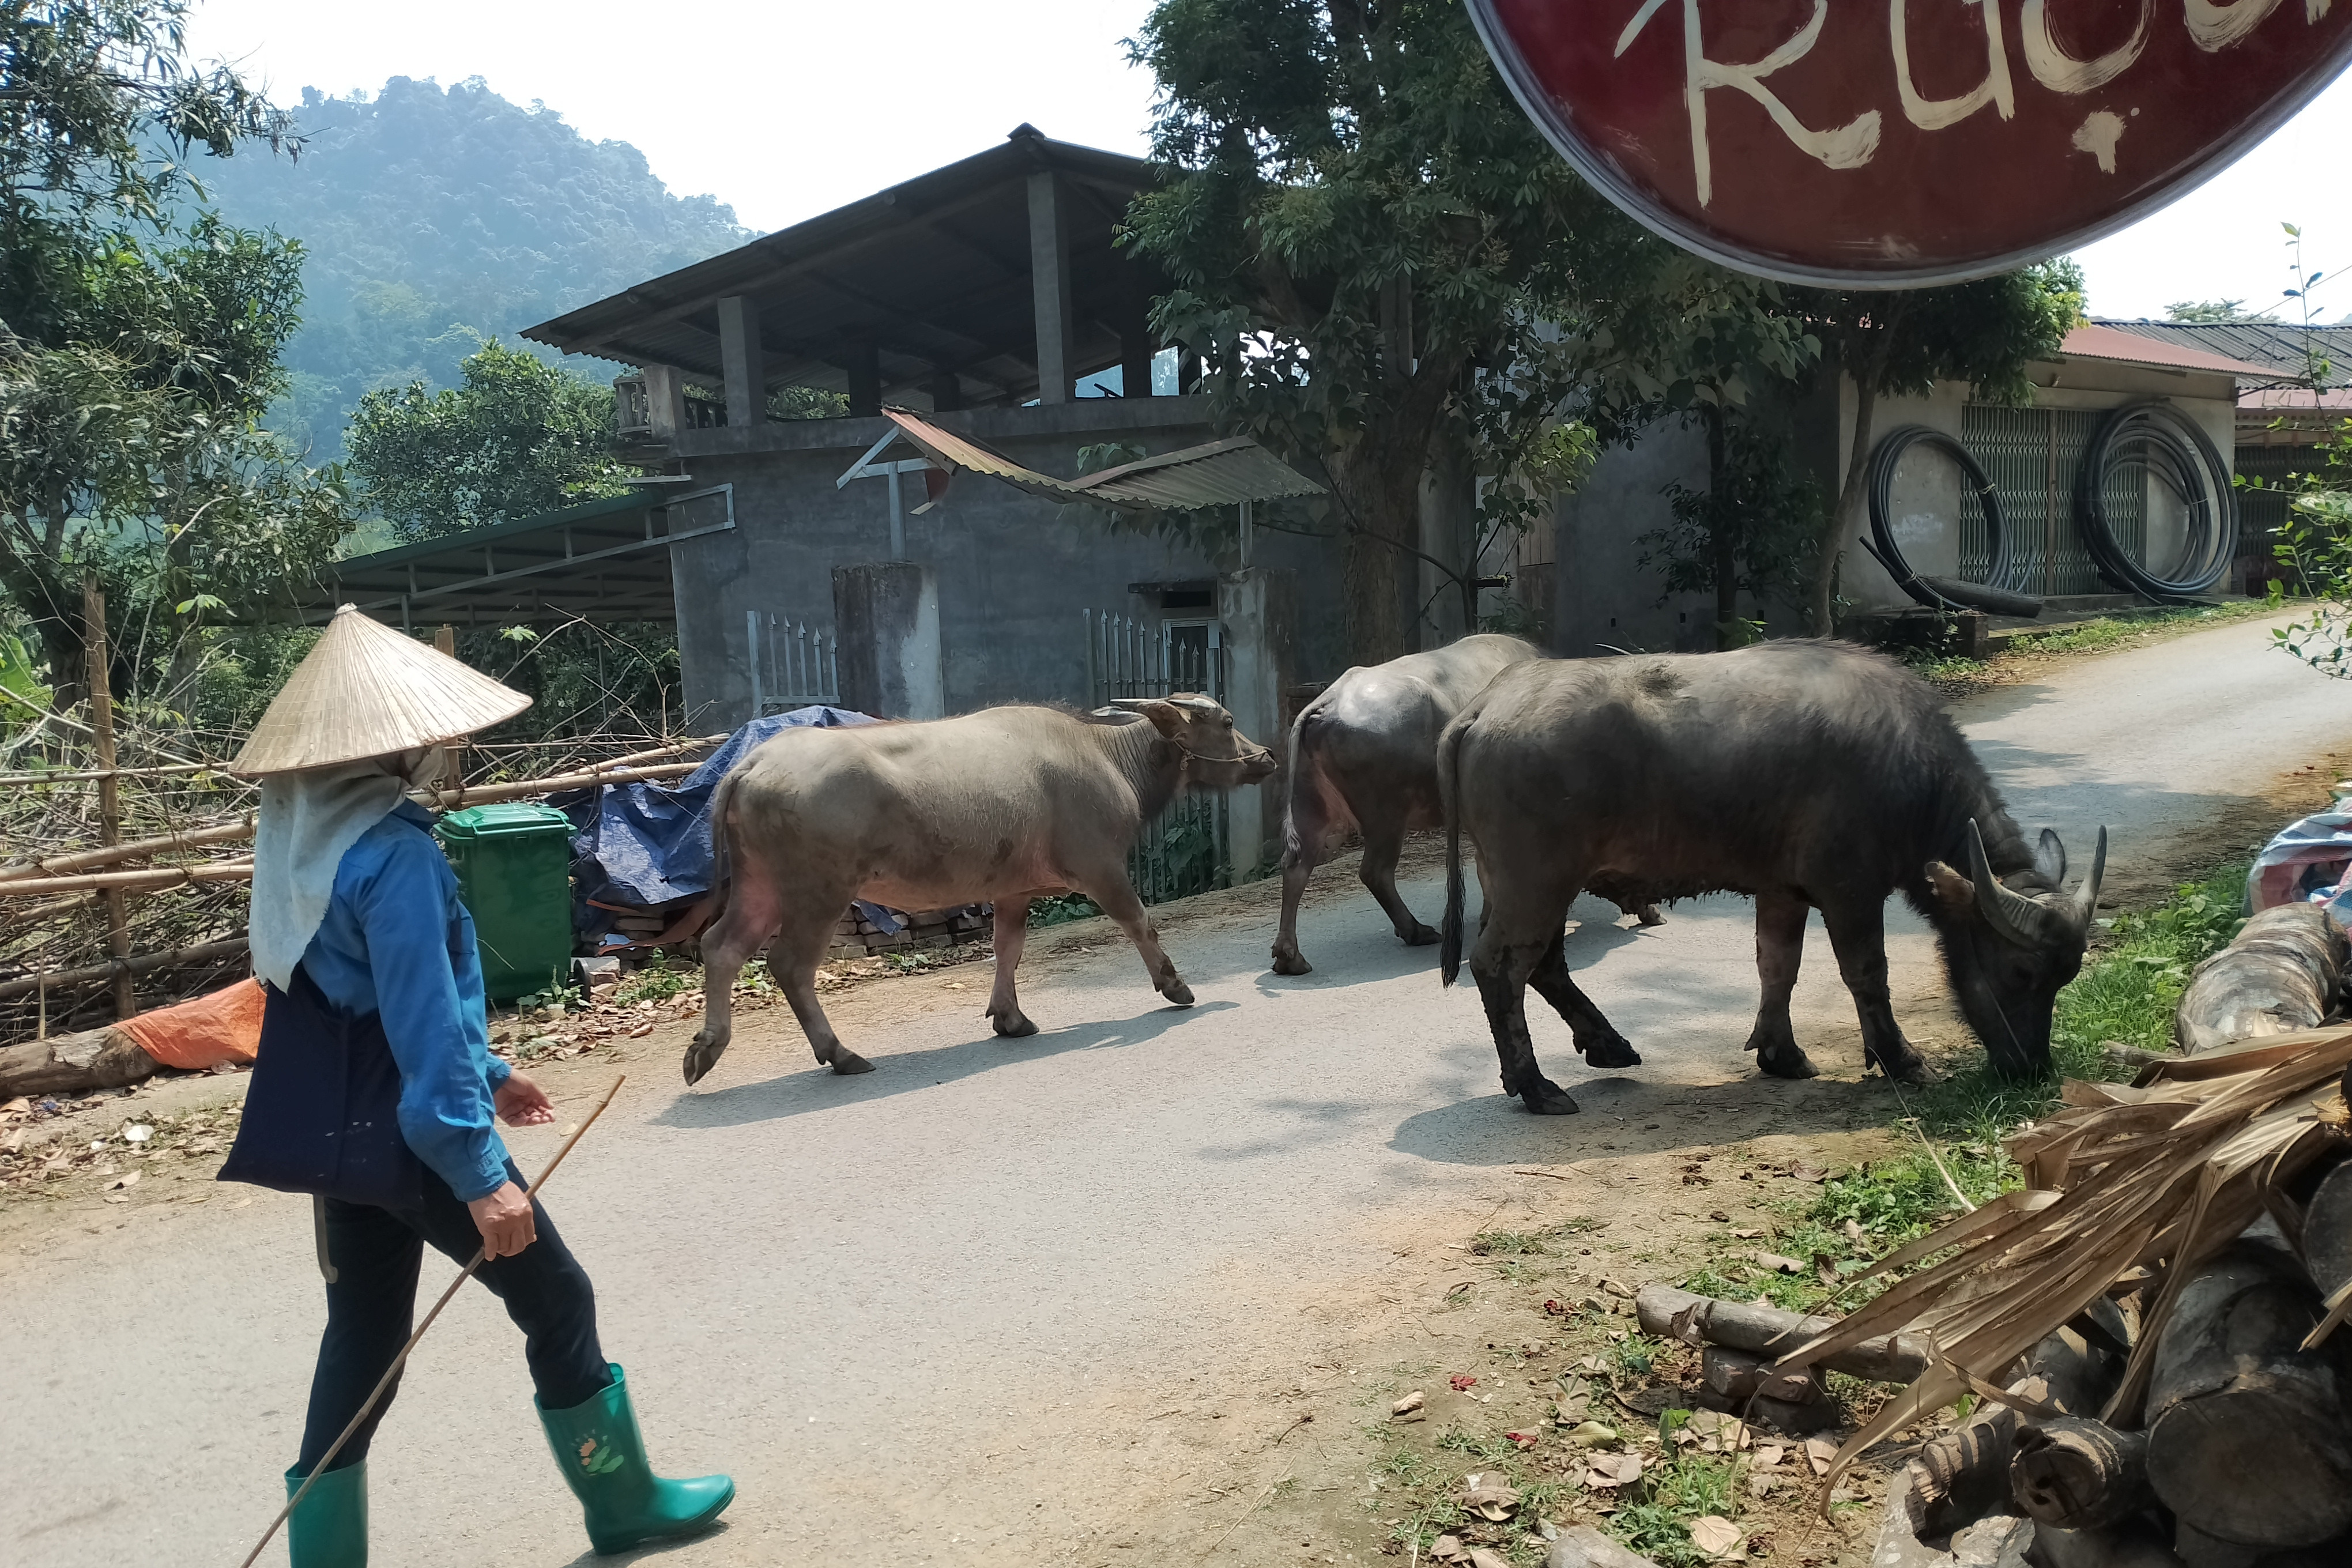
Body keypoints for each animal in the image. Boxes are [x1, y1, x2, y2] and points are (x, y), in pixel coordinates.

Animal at [672, 700, 1279, 1091]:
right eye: (1227, 721)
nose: (1267, 756)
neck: (1106, 756)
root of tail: (750, 765)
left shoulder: (1013, 889)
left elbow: (1007, 949)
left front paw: (1009, 1017)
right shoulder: (1101, 868)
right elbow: (1140, 922)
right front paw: (1175, 986)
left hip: (761, 886)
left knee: (723, 946)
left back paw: (706, 1047)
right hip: (818, 891)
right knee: (790, 964)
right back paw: (839, 1054)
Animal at [1279, 630, 1665, 973]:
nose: (1653, 910)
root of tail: (1327, 701)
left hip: (1315, 809)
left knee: (1296, 865)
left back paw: (1290, 957)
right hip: (1386, 817)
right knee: (1376, 871)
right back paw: (1416, 931)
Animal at [1430, 639, 2117, 1114]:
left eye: (2067, 977)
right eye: (2022, 972)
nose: (2032, 1068)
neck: (1913, 775)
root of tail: (1486, 706)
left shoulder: (1781, 891)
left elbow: (1777, 966)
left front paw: (1779, 1052)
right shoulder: (1850, 891)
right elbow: (1867, 973)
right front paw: (1900, 1057)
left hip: (1520, 883)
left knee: (1543, 964)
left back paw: (1607, 1044)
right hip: (1537, 882)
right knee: (1500, 965)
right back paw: (1535, 1085)